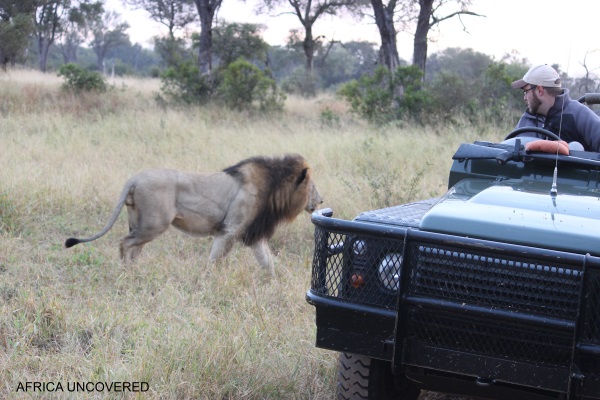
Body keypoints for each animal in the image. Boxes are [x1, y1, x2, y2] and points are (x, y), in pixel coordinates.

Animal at [65, 153, 324, 276]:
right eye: (313, 187)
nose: (321, 200)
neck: (274, 188)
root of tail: (134, 178)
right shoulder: (230, 230)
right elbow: (215, 260)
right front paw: (207, 281)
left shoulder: (253, 234)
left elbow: (267, 262)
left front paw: (273, 283)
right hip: (154, 224)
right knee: (124, 243)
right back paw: (125, 272)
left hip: (139, 223)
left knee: (134, 247)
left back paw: (133, 271)